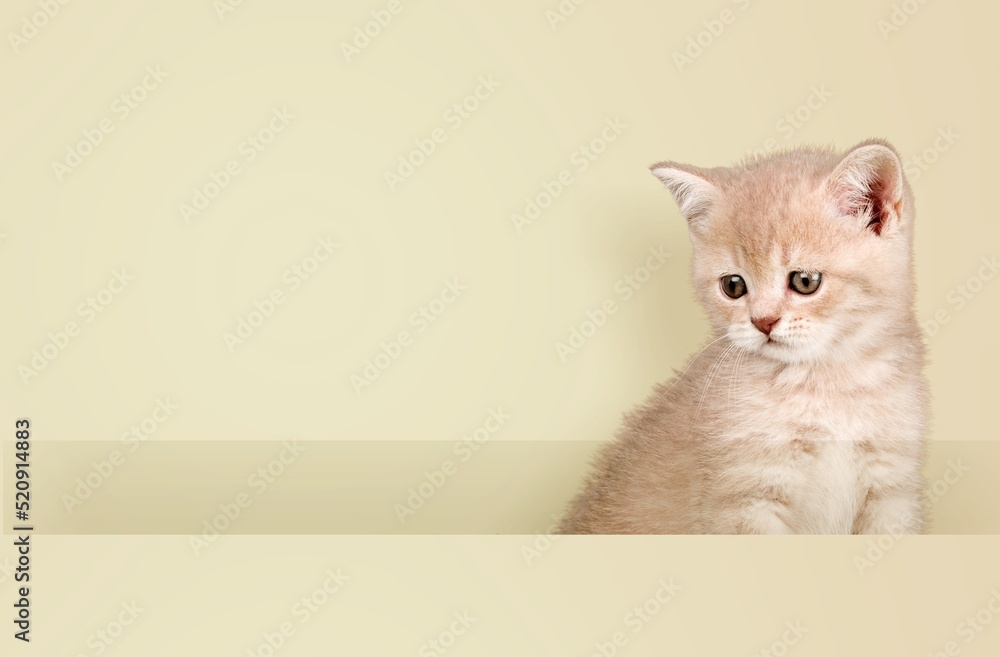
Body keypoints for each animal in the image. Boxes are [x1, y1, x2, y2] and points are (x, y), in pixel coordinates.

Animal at [564, 138, 928, 532]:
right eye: (733, 286)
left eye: (805, 281)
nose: (763, 321)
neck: (825, 385)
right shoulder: (745, 502)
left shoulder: (892, 494)